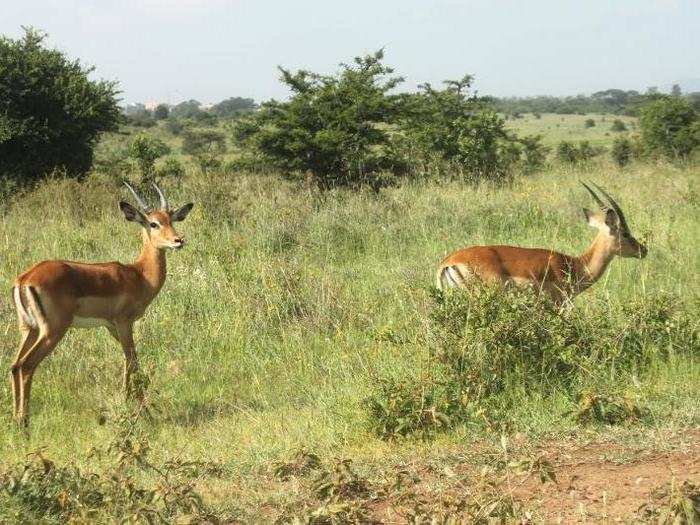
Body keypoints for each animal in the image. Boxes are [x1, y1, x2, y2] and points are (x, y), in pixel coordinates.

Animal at [10, 182, 196, 424]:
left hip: (28, 329)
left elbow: (132, 360)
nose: (178, 240)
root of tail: (26, 278)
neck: (139, 275)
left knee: (14, 366)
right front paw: (140, 410)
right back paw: (24, 422)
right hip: (52, 331)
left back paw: (15, 420)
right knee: (26, 365)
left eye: (171, 219)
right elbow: (131, 360)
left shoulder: (111, 326)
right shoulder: (124, 322)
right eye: (153, 223)